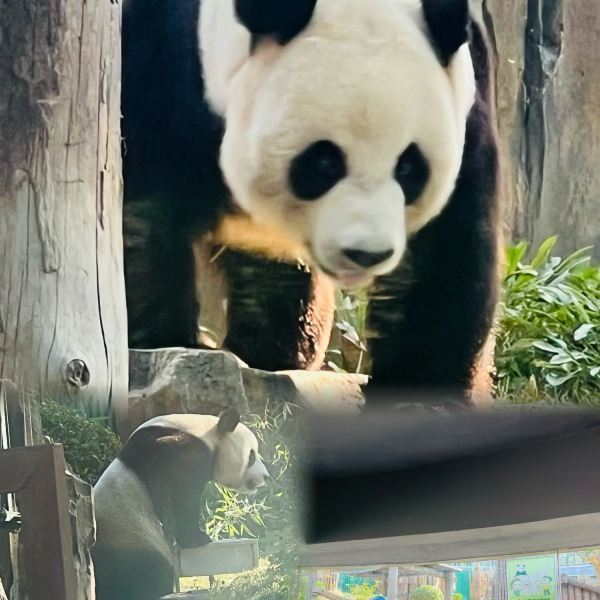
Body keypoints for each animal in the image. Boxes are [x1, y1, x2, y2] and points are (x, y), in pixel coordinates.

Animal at [92, 408, 268, 600]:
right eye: (251, 456)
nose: (265, 476)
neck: (206, 434)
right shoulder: (184, 459)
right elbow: (183, 500)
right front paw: (198, 539)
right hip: (130, 540)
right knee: (144, 571)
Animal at [123, 0, 502, 404]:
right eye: (323, 161)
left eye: (409, 167)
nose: (365, 254)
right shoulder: (157, 61)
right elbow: (141, 219)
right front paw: (164, 342)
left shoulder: (466, 99)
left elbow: (445, 251)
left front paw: (419, 396)